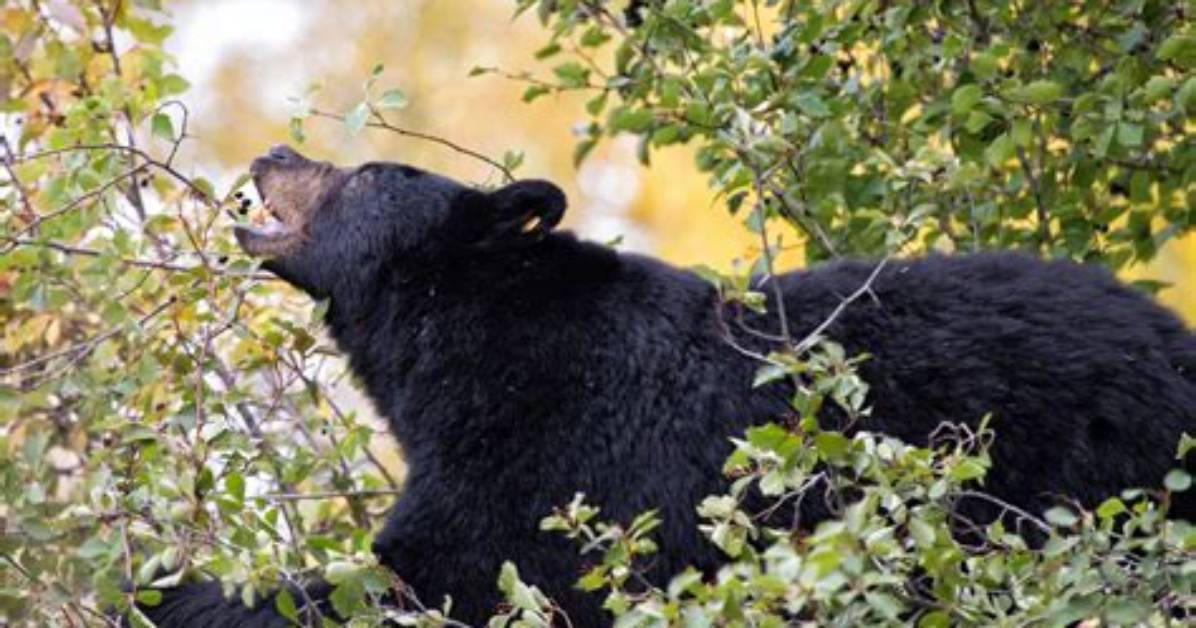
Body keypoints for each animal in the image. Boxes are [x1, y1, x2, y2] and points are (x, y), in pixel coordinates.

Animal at [137, 144, 1196, 626]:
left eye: (364, 176)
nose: (274, 154)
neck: (460, 353)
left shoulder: (557, 445)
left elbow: (439, 571)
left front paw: (172, 588)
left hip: (1093, 477)